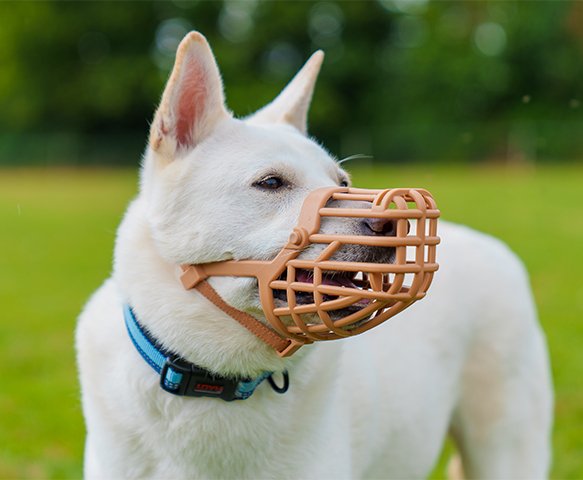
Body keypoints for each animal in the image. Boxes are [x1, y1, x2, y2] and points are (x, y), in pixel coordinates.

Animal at [75, 31, 556, 478]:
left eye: (342, 182)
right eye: (271, 183)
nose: (395, 224)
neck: (218, 381)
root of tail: (493, 245)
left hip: (508, 447)